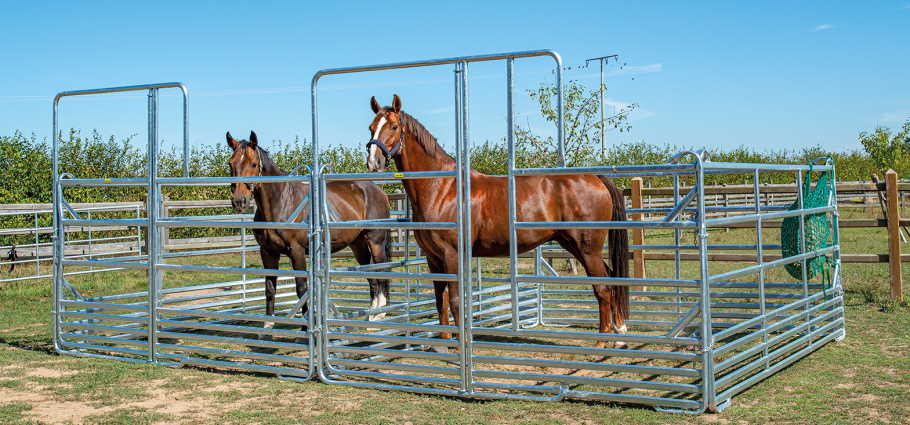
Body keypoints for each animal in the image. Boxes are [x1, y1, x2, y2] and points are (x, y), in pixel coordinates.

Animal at [228, 131, 392, 336]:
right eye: (231, 163)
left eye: (253, 164)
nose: (239, 201)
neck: (282, 202)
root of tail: (377, 191)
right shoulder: (267, 252)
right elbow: (270, 288)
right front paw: (267, 328)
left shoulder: (296, 251)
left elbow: (301, 288)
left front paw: (305, 327)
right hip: (358, 244)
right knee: (371, 274)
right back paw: (370, 315)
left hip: (375, 240)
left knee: (382, 270)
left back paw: (379, 316)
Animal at [366, 96, 632, 348]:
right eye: (371, 127)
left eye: (393, 126)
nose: (373, 162)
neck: (442, 187)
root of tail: (595, 178)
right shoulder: (434, 258)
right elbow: (440, 299)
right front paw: (442, 342)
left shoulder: (452, 255)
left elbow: (455, 301)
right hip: (574, 246)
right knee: (611, 281)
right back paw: (619, 334)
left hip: (588, 249)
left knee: (603, 288)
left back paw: (602, 341)